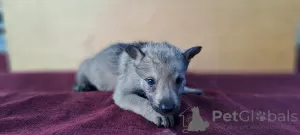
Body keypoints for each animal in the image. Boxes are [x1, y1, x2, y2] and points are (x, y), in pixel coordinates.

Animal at [73, 41, 204, 127]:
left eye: (179, 80)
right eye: (150, 81)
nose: (167, 108)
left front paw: (191, 89)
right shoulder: (122, 94)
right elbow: (142, 101)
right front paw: (158, 115)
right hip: (88, 68)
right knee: (81, 71)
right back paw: (82, 85)